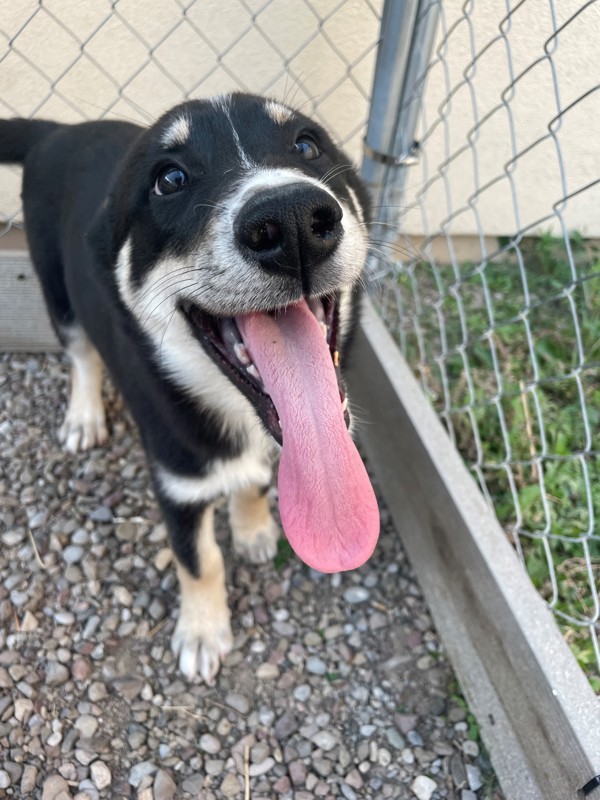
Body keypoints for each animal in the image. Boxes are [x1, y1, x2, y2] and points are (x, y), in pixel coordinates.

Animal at [0, 94, 380, 680]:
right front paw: (202, 634)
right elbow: (200, 560)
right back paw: (84, 416)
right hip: (56, 288)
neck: (239, 413)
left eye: (307, 145)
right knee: (82, 354)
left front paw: (253, 530)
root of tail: (58, 130)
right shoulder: (176, 480)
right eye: (169, 179)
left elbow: (253, 484)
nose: (291, 219)